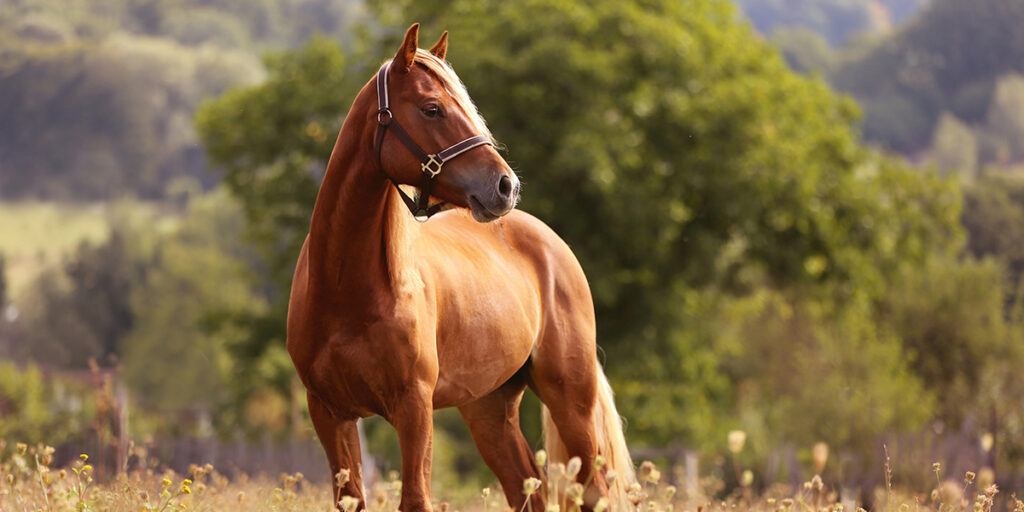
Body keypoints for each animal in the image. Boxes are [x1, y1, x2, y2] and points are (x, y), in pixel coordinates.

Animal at [288, 24, 634, 512]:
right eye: (432, 108)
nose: (506, 186)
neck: (346, 291)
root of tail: (553, 245)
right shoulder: (329, 412)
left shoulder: (413, 408)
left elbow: (416, 498)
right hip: (488, 407)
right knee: (526, 486)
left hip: (571, 400)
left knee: (593, 489)